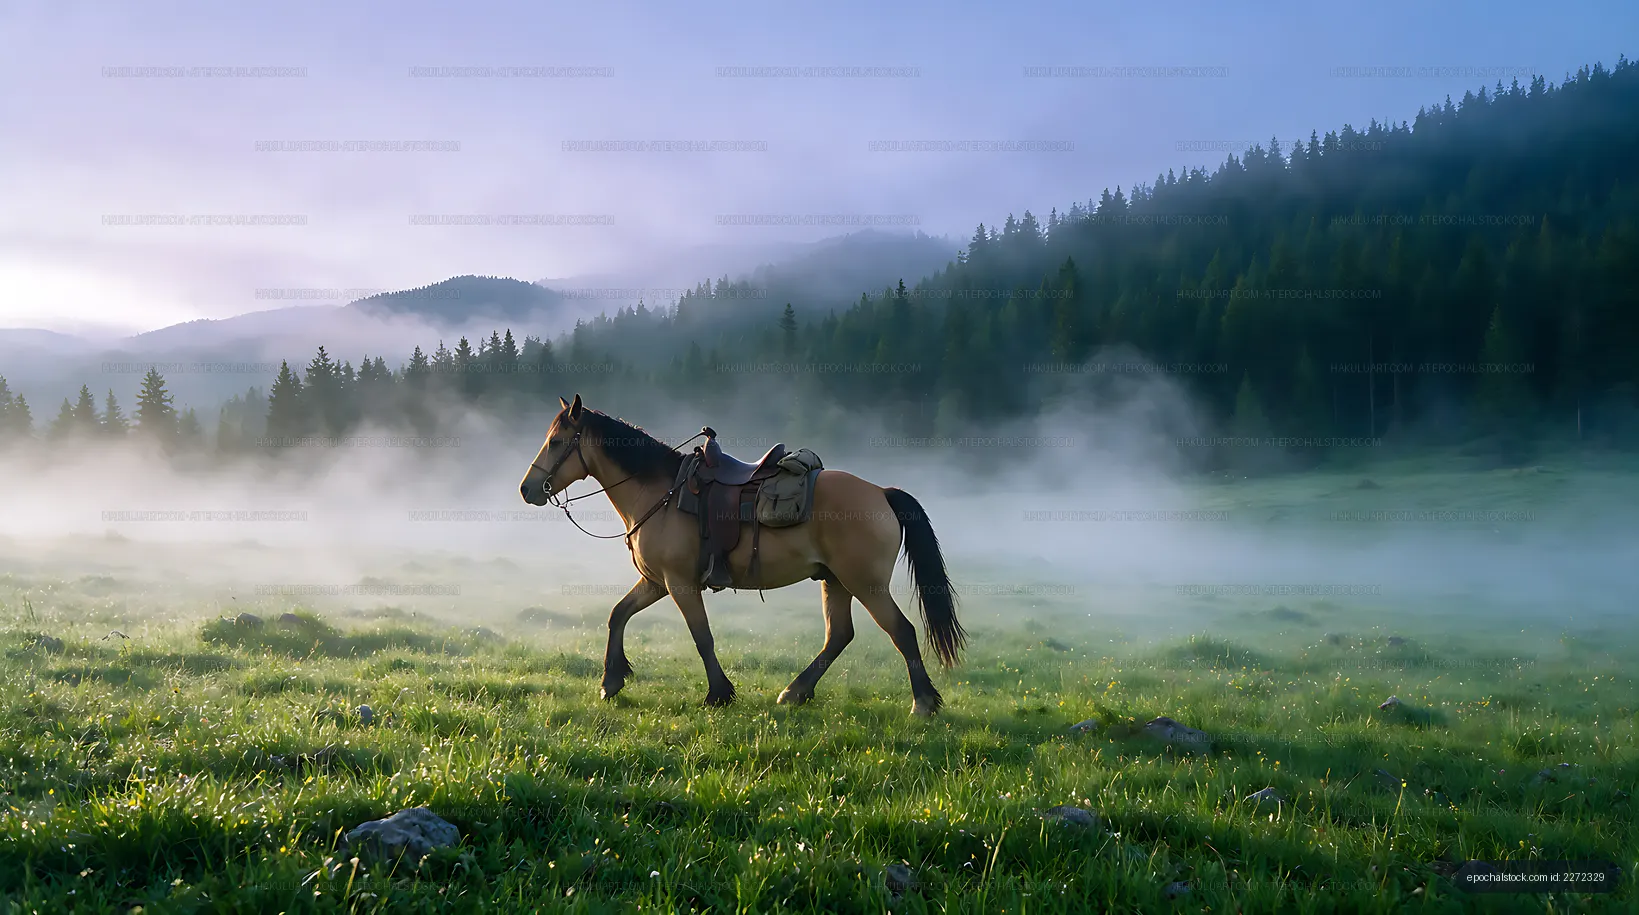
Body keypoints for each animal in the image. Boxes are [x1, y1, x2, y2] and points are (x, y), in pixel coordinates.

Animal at [519, 394, 965, 716]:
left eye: (556, 442)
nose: (527, 489)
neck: (660, 492)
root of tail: (882, 493)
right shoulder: (655, 582)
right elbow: (618, 615)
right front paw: (611, 681)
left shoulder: (680, 584)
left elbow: (702, 636)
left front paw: (718, 694)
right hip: (836, 581)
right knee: (839, 636)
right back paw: (795, 692)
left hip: (865, 583)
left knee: (901, 632)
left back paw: (923, 702)